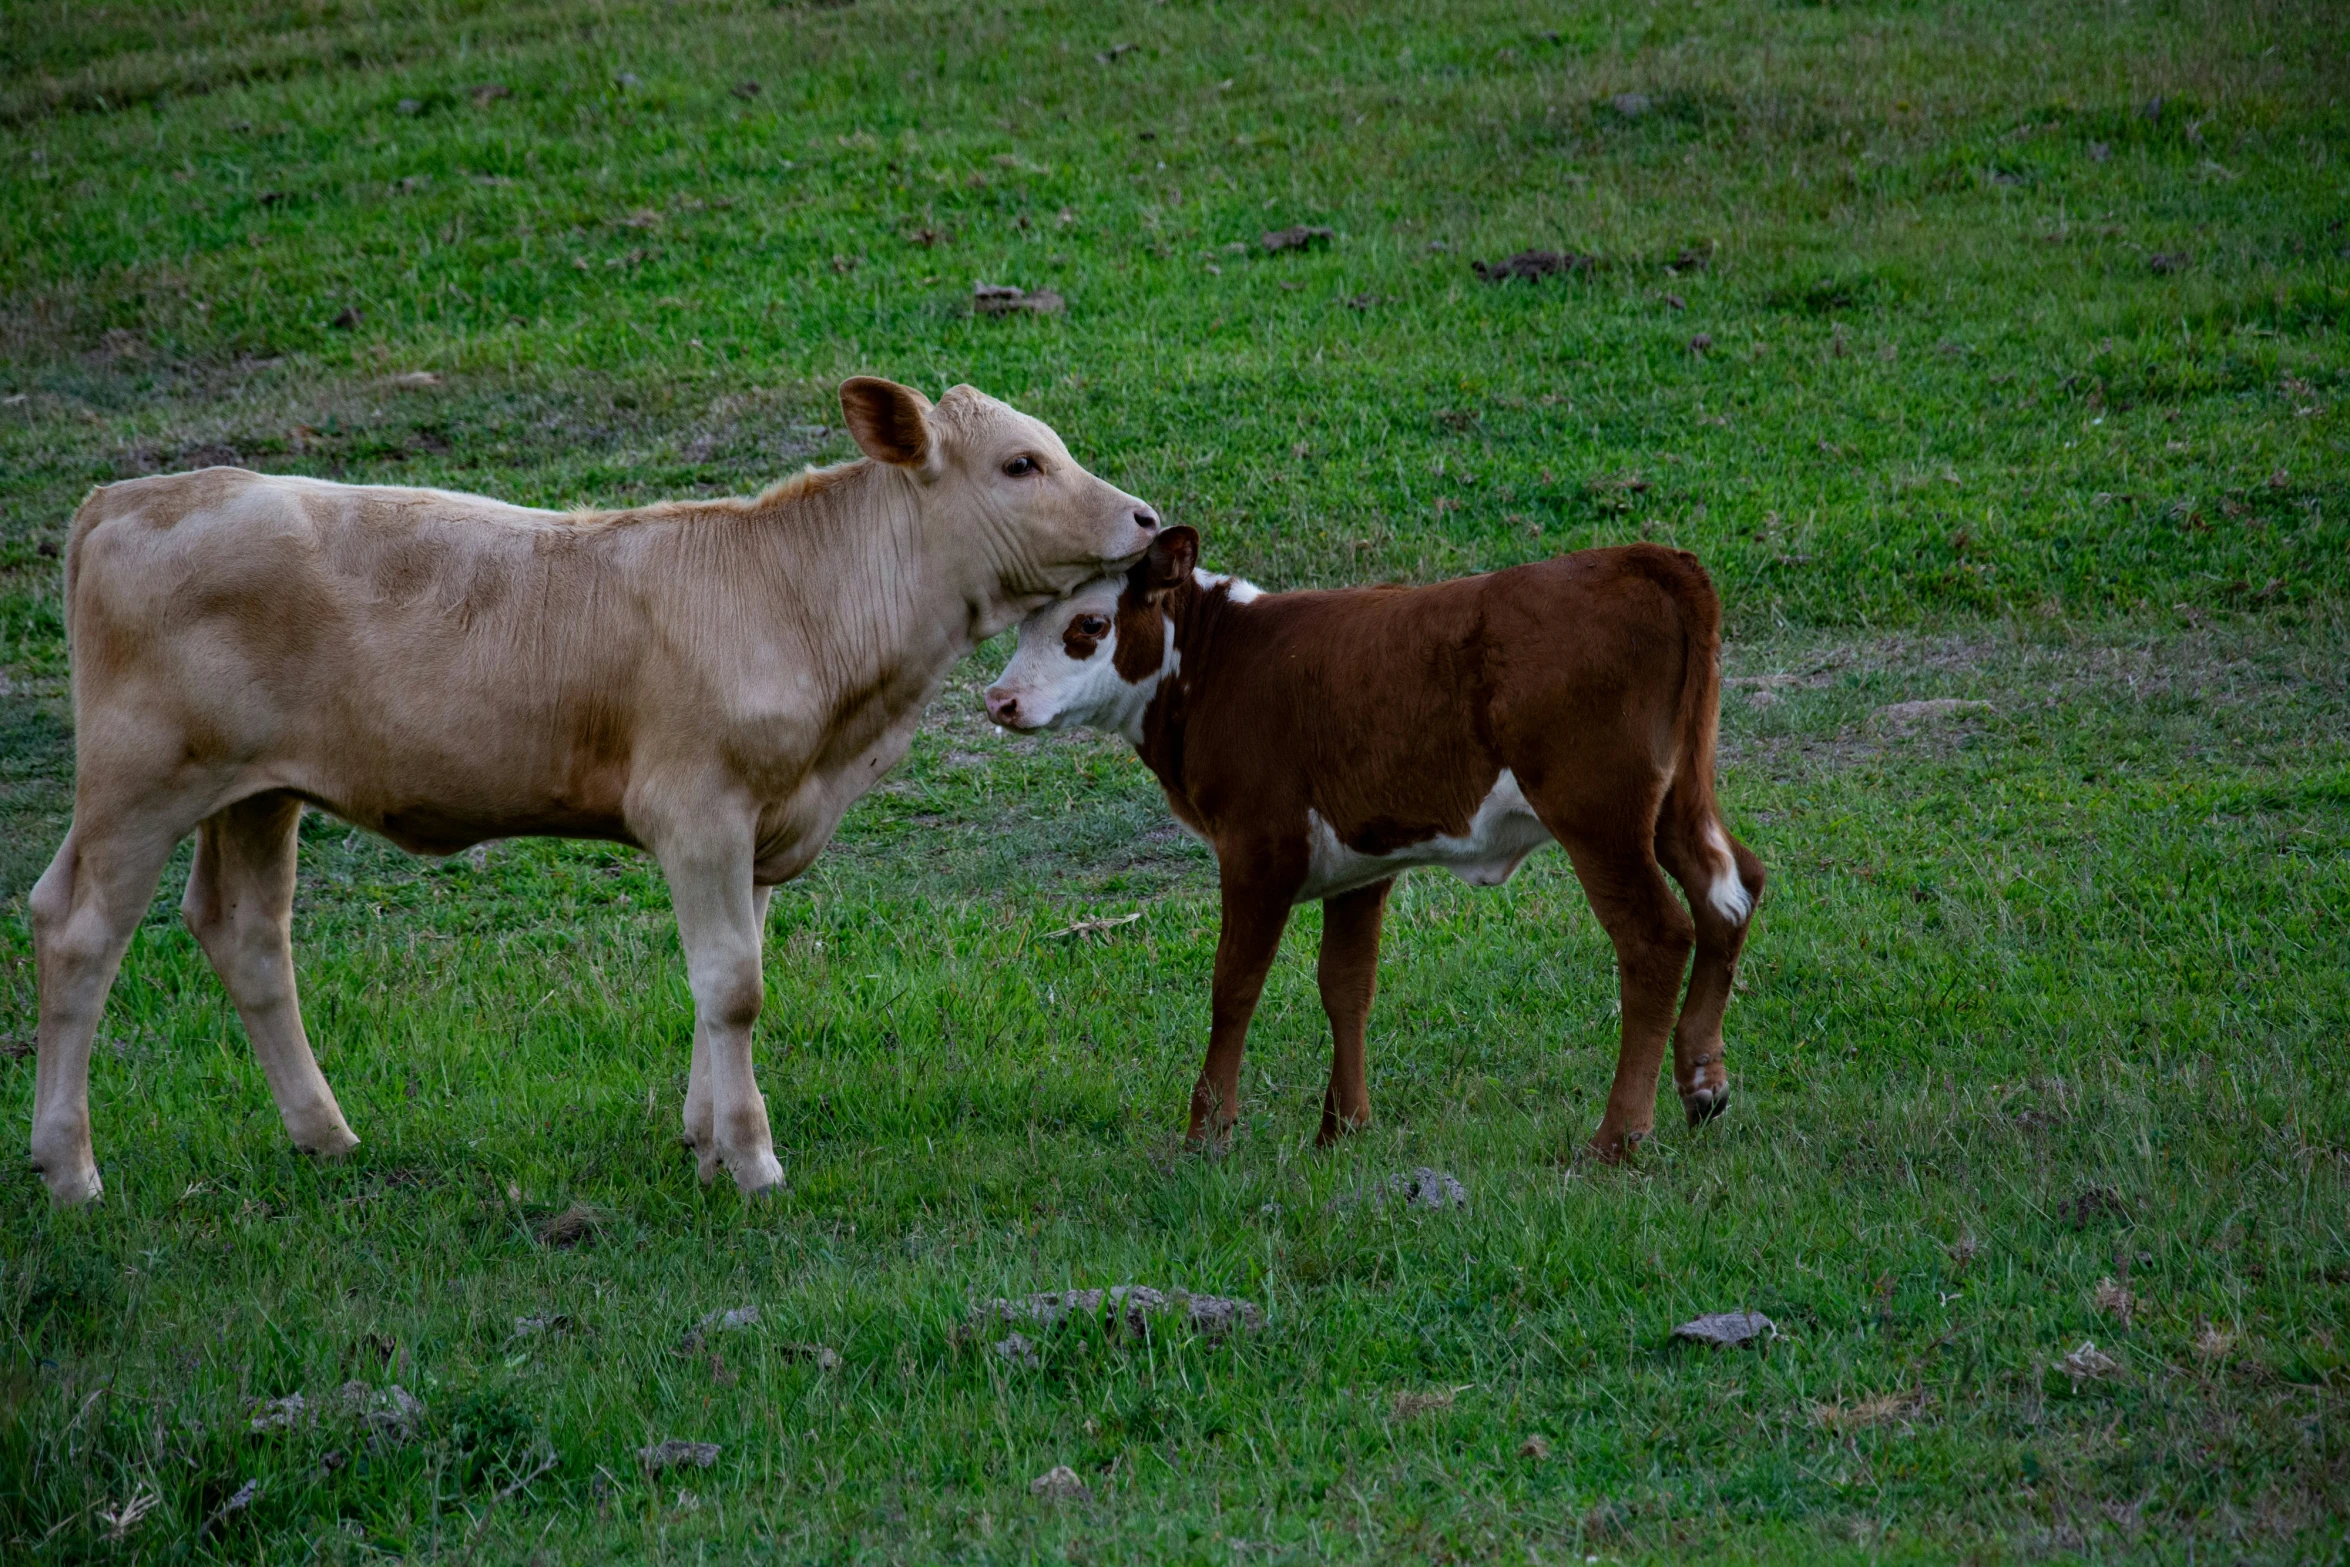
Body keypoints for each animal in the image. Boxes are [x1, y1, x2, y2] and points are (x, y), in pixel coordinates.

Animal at [36, 373, 1165, 1212]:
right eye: (1021, 462)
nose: (1147, 517)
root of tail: (129, 497)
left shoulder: (765, 824)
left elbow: (729, 981)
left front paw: (705, 1142)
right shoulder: (698, 810)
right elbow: (733, 984)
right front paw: (753, 1164)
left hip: (255, 793)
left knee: (245, 931)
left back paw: (325, 1136)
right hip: (139, 782)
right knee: (79, 933)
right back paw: (70, 1170)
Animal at [977, 533, 1767, 1160]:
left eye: (1090, 624)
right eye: (1022, 626)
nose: (999, 701)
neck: (1216, 662)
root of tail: (1645, 557)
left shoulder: (1259, 850)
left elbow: (1234, 986)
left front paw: (1207, 1133)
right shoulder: (1360, 864)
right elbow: (1346, 985)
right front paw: (1342, 1128)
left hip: (1598, 813)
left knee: (1656, 936)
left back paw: (1618, 1136)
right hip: (1677, 798)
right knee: (1733, 888)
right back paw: (1703, 1083)